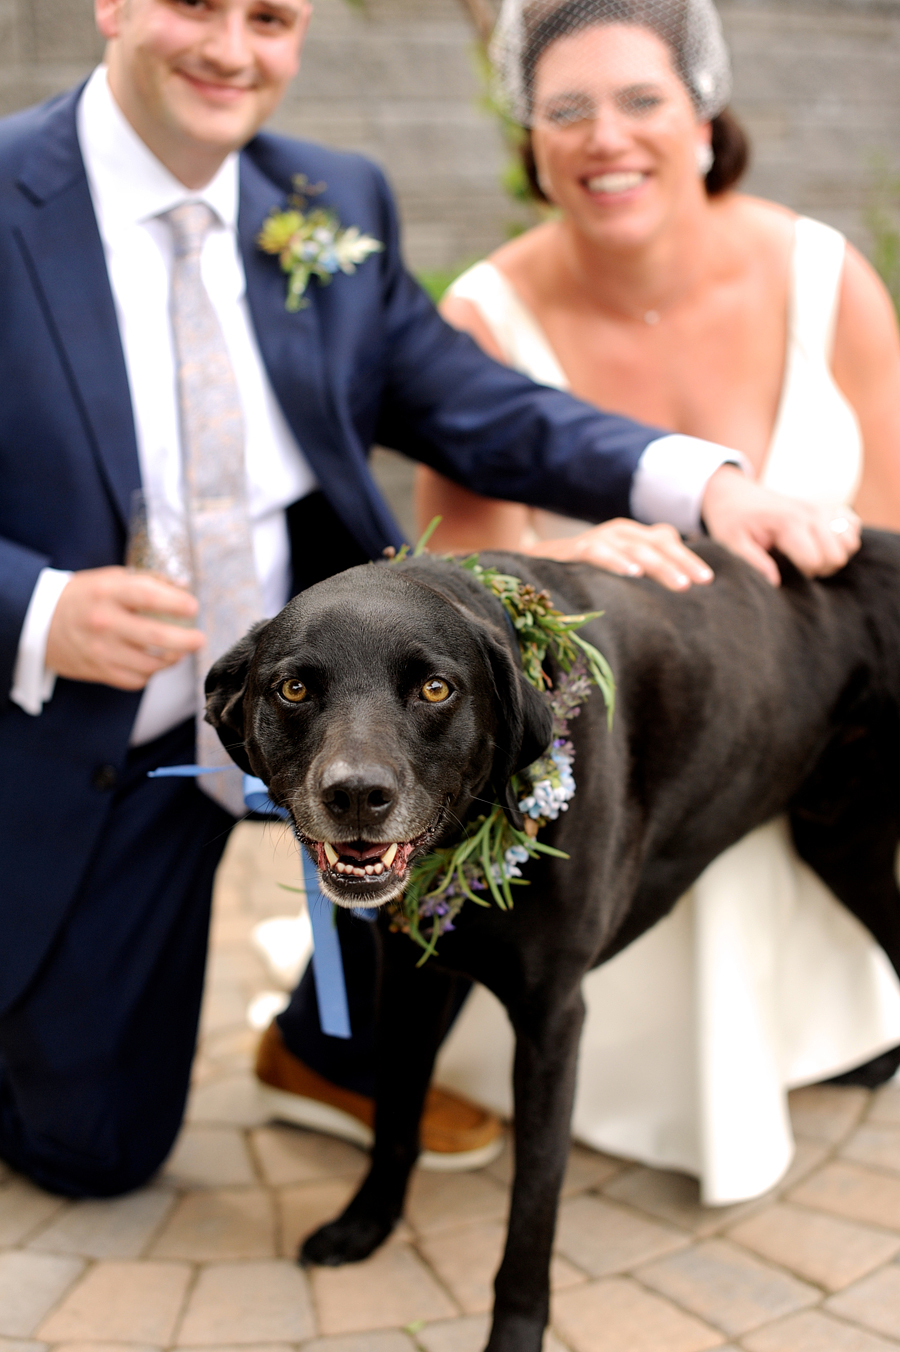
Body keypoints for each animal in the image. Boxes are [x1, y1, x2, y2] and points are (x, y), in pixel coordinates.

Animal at [206, 535, 897, 1352]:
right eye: (293, 689)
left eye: (436, 689)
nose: (355, 796)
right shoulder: (408, 980)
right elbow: (394, 1118)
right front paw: (365, 1224)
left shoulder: (552, 1020)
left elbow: (532, 1205)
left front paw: (515, 1333)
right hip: (840, 843)